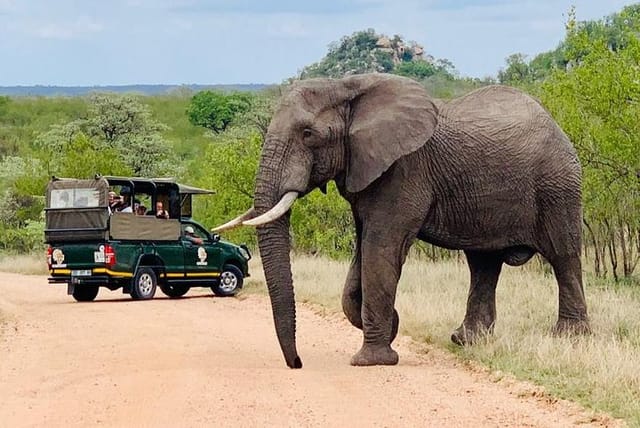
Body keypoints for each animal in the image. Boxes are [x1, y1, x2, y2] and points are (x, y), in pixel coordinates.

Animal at [214, 72, 592, 368]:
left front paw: (372, 360)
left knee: (563, 255)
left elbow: (381, 249)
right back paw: (466, 341)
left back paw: (569, 338)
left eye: (308, 134)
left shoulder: (404, 170)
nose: (297, 363)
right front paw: (388, 325)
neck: (348, 86)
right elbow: (362, 255)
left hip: (557, 184)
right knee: (483, 264)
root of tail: (555, 124)